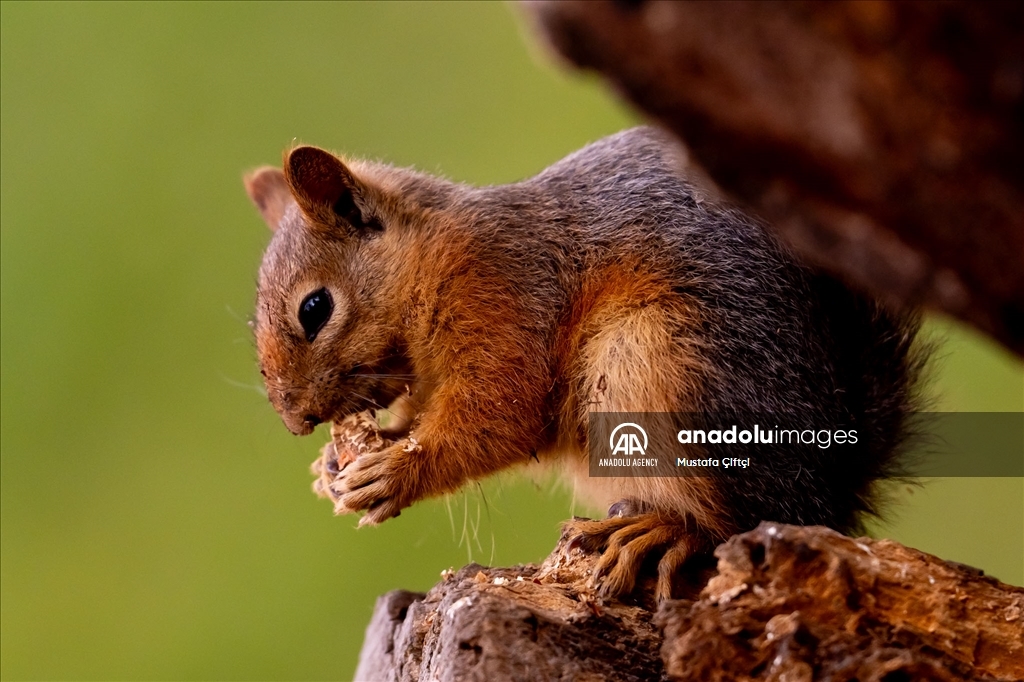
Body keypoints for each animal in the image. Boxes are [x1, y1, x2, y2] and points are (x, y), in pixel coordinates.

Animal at [243, 127, 925, 602]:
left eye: (314, 308)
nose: (296, 421)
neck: (430, 258)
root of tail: (836, 486)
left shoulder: (504, 297)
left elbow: (500, 415)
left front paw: (396, 472)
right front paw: (336, 464)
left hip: (662, 366)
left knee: (746, 517)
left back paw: (668, 531)